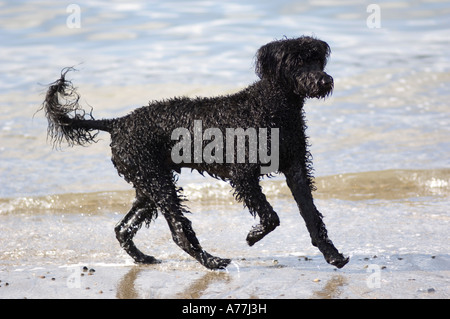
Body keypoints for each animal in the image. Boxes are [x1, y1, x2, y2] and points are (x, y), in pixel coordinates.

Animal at [41, 36, 348, 272]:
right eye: (297, 63)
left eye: (317, 60)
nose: (324, 81)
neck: (270, 106)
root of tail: (118, 123)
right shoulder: (242, 175)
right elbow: (272, 217)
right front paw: (252, 236)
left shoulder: (296, 169)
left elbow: (312, 217)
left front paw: (332, 255)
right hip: (157, 183)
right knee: (179, 232)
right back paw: (212, 261)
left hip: (148, 185)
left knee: (123, 229)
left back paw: (144, 258)